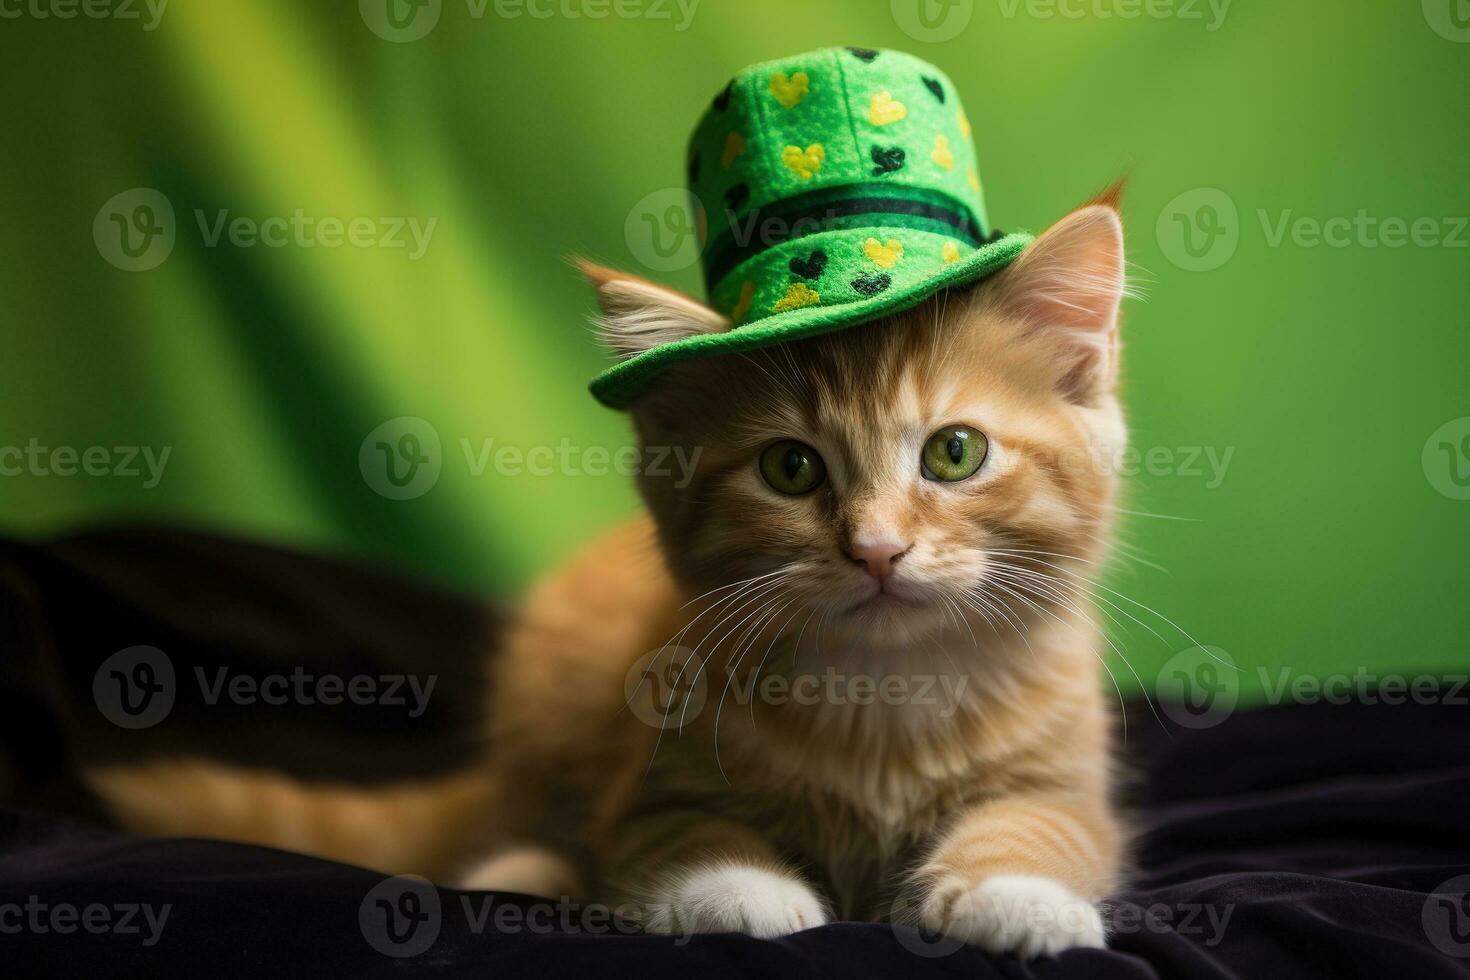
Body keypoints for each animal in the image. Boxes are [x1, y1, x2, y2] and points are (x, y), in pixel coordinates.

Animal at [464, 193, 1128, 957]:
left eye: (956, 451)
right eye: (791, 467)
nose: (877, 548)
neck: (886, 695)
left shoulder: (1066, 781)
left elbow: (1045, 823)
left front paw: (1015, 892)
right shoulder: (648, 783)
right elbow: (681, 831)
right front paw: (736, 887)